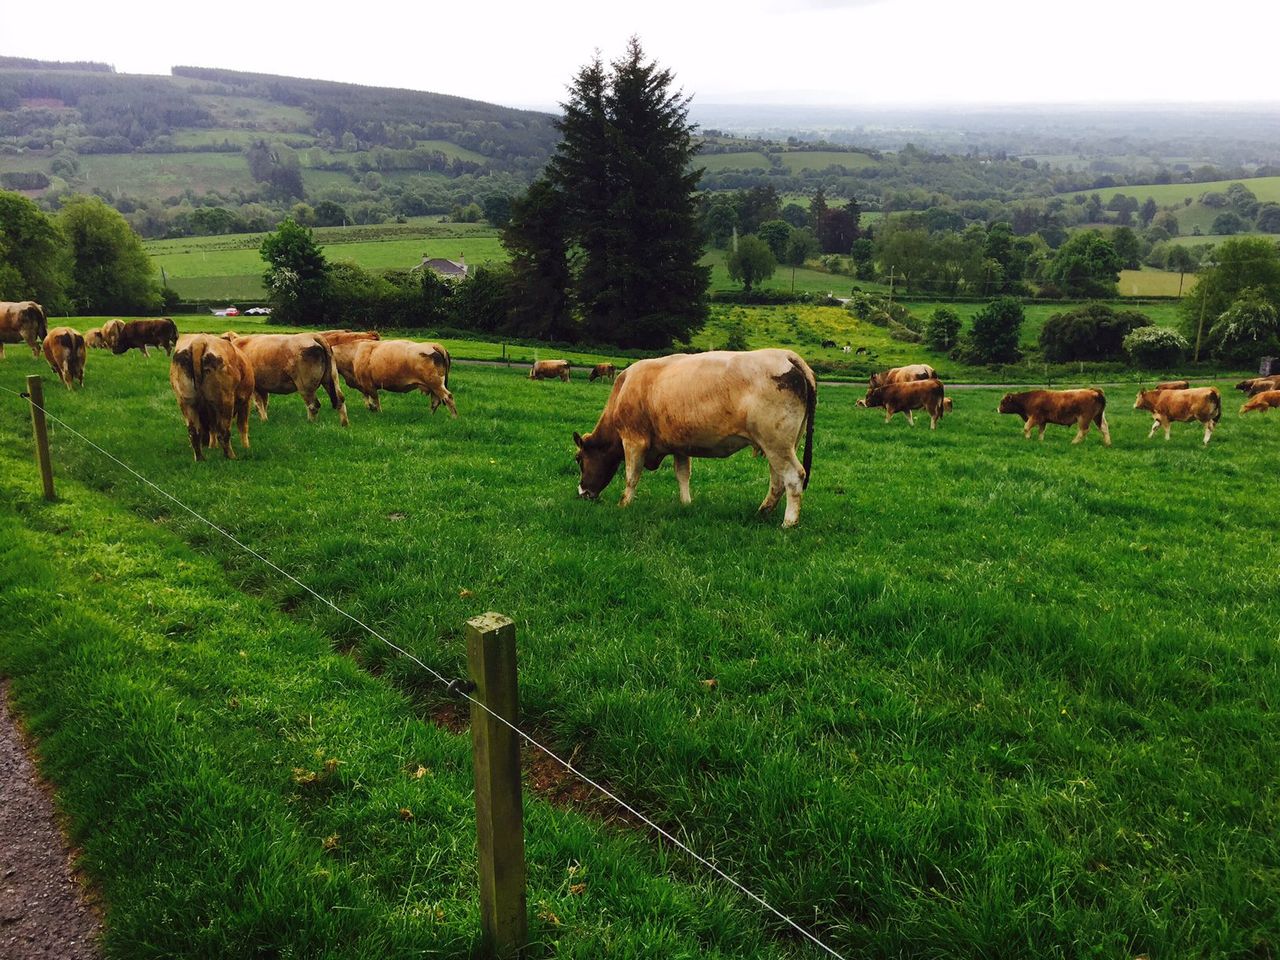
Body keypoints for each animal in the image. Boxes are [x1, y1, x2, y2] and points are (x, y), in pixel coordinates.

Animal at [572, 349, 817, 528]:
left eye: (579, 459)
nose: (582, 493)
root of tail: (785, 355)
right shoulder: (680, 446)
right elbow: (682, 475)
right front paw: (686, 504)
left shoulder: (633, 440)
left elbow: (632, 476)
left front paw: (623, 504)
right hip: (779, 446)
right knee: (777, 480)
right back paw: (762, 512)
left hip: (777, 444)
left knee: (794, 476)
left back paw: (788, 523)